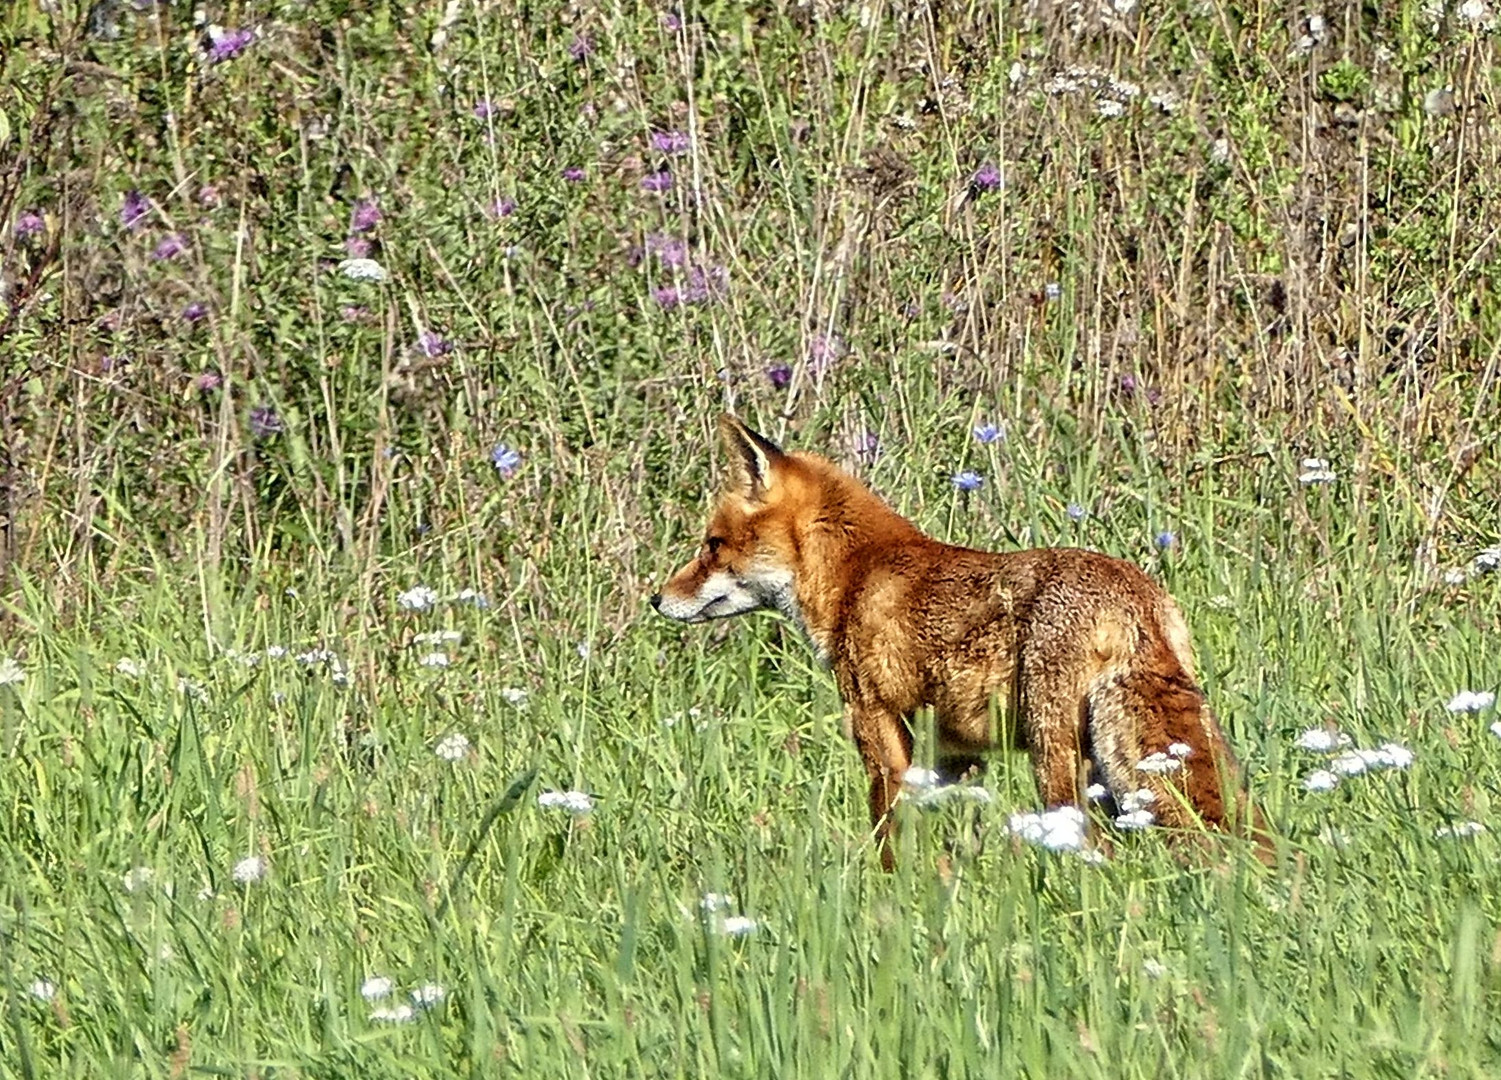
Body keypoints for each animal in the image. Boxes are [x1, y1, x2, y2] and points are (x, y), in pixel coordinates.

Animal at [651, 414, 1272, 870]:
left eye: (712, 545)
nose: (657, 599)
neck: (854, 577)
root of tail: (1136, 594)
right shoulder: (952, 755)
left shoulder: (875, 721)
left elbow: (888, 831)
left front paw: (887, 902)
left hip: (1055, 754)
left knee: (1087, 841)